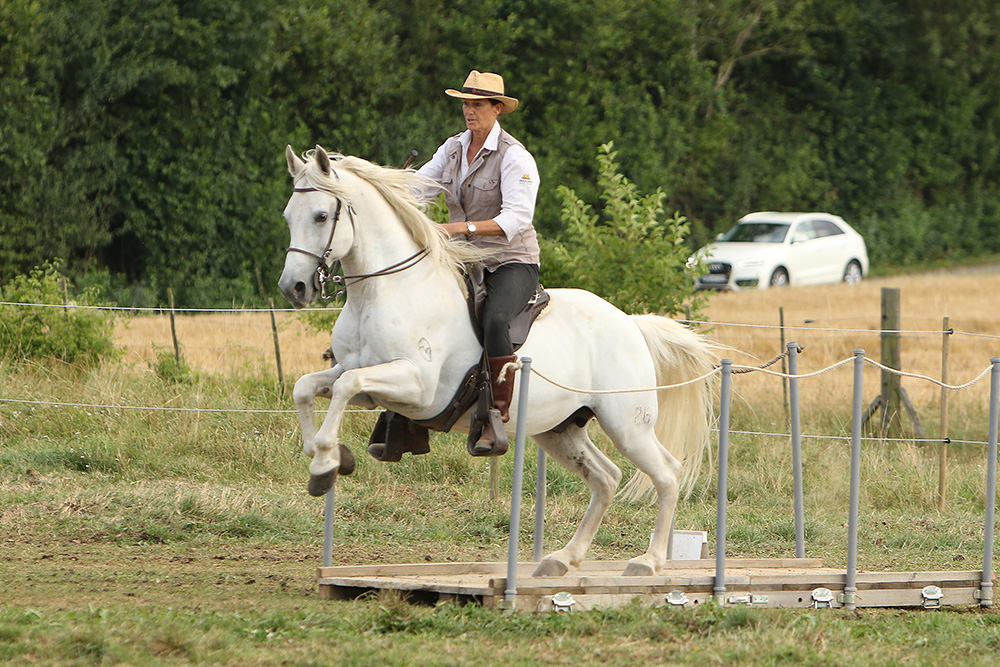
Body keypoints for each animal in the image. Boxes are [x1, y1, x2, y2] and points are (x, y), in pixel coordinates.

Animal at [278, 146, 718, 577]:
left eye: (320, 215)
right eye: (288, 216)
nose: (293, 288)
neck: (388, 289)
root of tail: (631, 323)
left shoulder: (417, 387)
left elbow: (344, 387)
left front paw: (325, 464)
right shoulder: (362, 378)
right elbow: (308, 388)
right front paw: (328, 458)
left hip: (627, 425)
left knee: (667, 474)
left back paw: (649, 560)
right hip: (560, 429)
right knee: (606, 478)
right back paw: (563, 558)